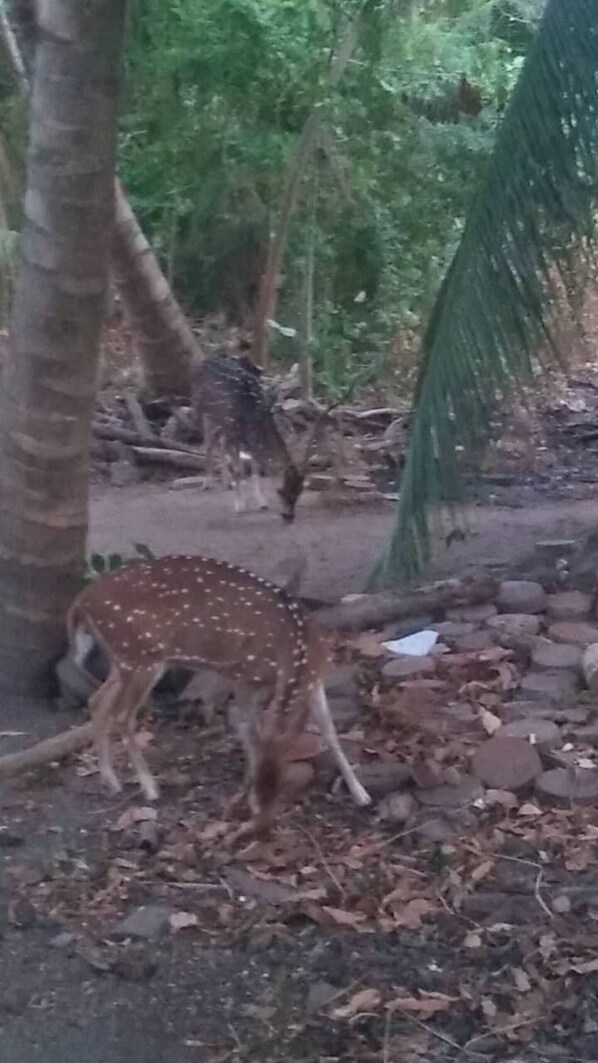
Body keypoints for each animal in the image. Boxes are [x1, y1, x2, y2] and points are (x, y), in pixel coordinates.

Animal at [65, 555, 371, 833]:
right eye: (264, 783)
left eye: (283, 783)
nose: (262, 826)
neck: (297, 650)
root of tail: (82, 600)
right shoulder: (241, 674)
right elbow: (250, 730)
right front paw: (250, 797)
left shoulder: (315, 679)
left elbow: (330, 732)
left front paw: (360, 793)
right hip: (139, 657)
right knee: (122, 714)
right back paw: (150, 787)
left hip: (122, 660)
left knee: (98, 701)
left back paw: (111, 780)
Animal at [191, 353, 307, 522]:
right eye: (281, 491)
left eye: (300, 490)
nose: (289, 516)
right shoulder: (234, 429)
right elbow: (239, 469)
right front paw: (239, 506)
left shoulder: (244, 434)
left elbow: (255, 466)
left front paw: (262, 502)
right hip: (204, 412)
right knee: (208, 442)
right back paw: (207, 483)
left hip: (222, 423)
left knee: (220, 442)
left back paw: (227, 482)